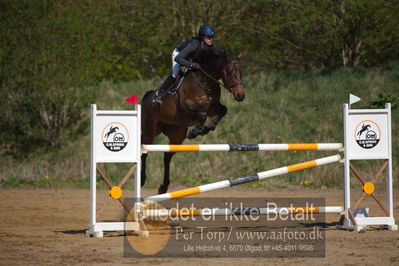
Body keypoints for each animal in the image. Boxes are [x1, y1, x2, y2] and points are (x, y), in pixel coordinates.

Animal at [141, 46, 247, 194]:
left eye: (241, 72)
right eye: (231, 72)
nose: (240, 95)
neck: (205, 81)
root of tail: (147, 98)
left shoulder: (212, 108)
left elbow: (222, 111)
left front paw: (207, 128)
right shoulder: (187, 106)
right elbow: (202, 114)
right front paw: (196, 132)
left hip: (177, 135)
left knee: (167, 156)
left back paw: (164, 187)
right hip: (150, 132)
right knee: (144, 151)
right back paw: (142, 179)